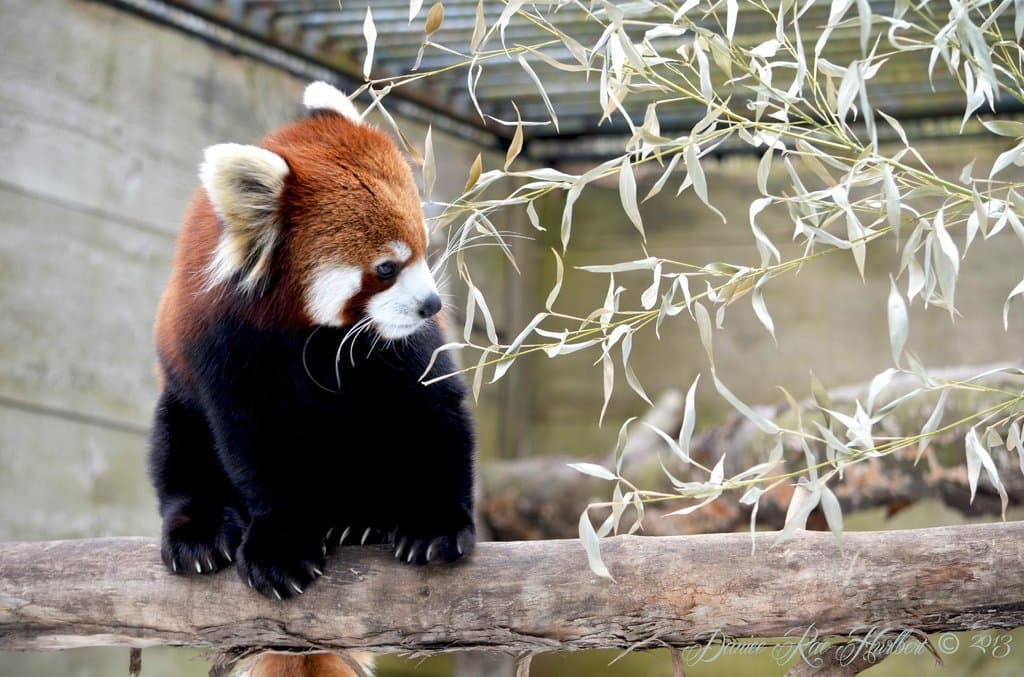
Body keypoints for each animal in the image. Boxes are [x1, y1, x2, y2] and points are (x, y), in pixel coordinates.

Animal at [148, 81, 476, 613]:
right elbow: (258, 445)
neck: (307, 333)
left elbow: (429, 409)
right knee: (177, 445)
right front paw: (281, 546)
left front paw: (435, 523)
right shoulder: (226, 346)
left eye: (424, 251)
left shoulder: (392, 344)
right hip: (178, 399)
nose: (432, 305)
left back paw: (360, 518)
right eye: (386, 268)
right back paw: (199, 532)